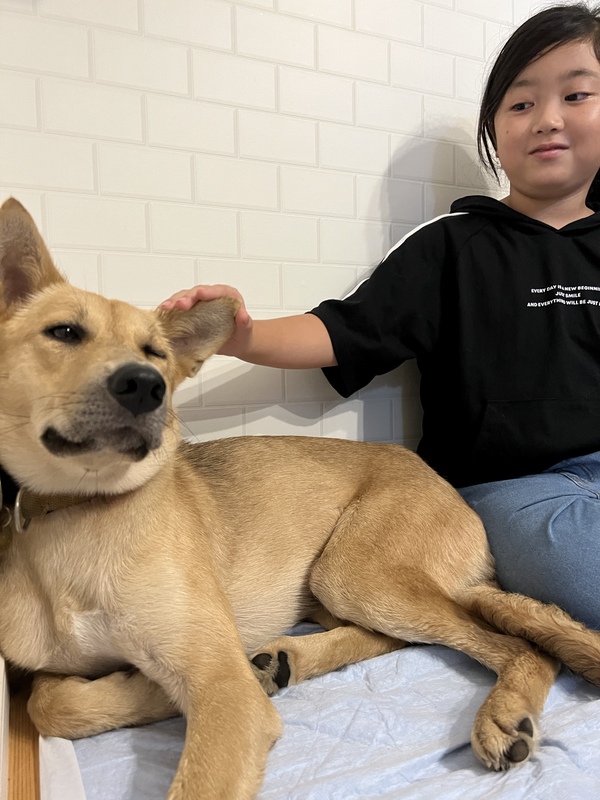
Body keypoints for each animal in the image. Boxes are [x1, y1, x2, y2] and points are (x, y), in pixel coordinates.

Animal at [1, 197, 600, 799]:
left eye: (156, 352)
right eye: (64, 332)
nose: (146, 385)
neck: (84, 508)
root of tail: (441, 483)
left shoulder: (224, 690)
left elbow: (193, 763)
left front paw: (151, 685)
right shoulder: (53, 668)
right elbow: (46, 704)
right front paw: (138, 686)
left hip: (354, 571)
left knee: (519, 646)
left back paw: (501, 711)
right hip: (333, 585)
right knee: (399, 638)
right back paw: (283, 657)